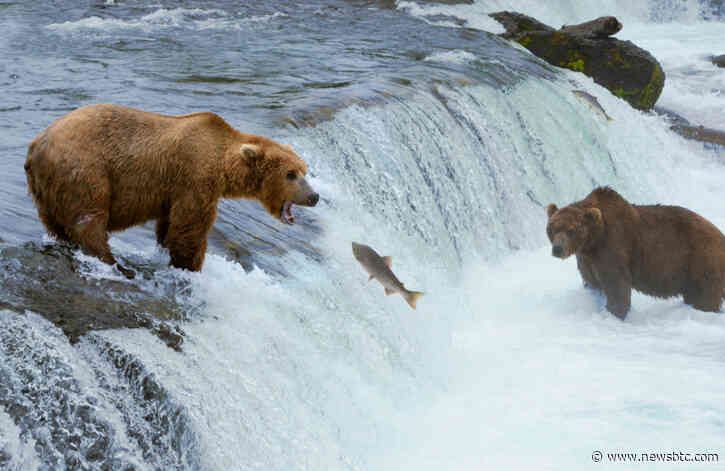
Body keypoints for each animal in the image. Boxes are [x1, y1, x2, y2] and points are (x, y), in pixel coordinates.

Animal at [24, 104, 319, 279]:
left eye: (304, 170)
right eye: (291, 174)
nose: (314, 196)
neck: (223, 163)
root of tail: (37, 144)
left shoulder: (173, 191)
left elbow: (169, 225)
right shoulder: (195, 178)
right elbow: (190, 227)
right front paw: (190, 265)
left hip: (46, 190)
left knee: (56, 223)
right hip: (85, 169)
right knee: (89, 219)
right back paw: (115, 264)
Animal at [546, 186, 725, 319]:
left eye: (571, 230)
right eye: (553, 228)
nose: (557, 249)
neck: (594, 239)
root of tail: (720, 235)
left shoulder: (614, 246)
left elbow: (616, 285)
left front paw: (614, 312)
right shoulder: (587, 257)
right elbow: (591, 281)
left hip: (701, 260)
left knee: (705, 295)